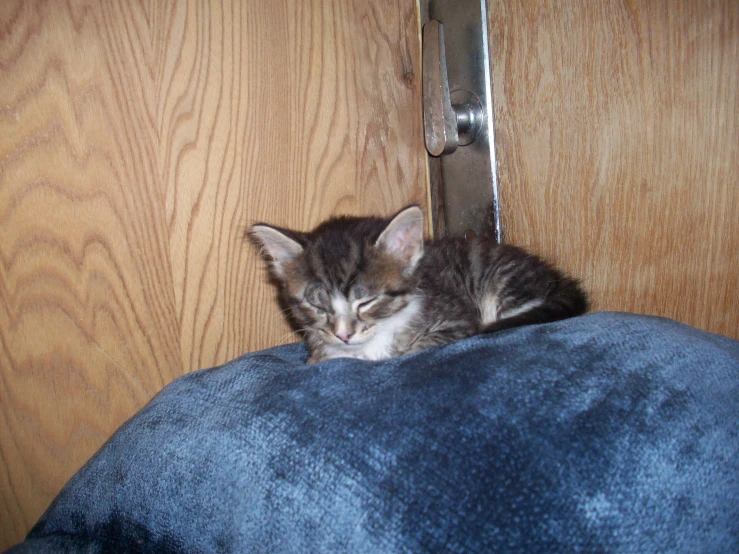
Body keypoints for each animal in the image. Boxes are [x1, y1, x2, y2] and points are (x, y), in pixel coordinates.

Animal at [251, 204, 588, 362]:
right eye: (316, 305)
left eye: (366, 301)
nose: (343, 334)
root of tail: (559, 279)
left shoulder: (456, 320)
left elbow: (411, 350)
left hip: (503, 280)